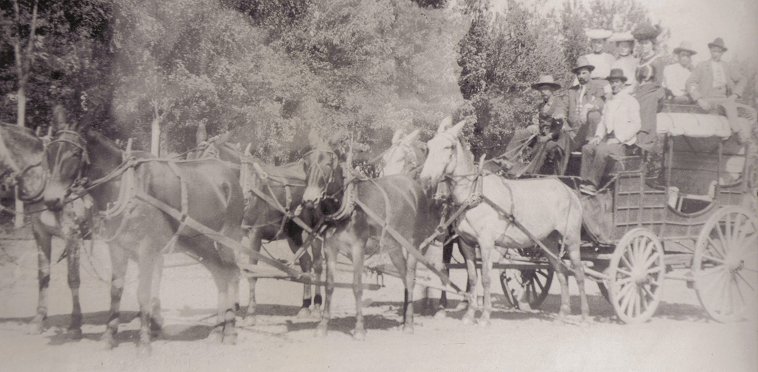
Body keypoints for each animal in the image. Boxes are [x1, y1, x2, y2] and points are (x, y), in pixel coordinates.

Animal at [0, 123, 93, 338]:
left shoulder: (72, 235)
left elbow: (73, 278)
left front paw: (75, 323)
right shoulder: (41, 235)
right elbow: (43, 275)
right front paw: (38, 319)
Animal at [43, 120, 245, 354]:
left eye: (75, 153)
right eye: (49, 153)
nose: (51, 200)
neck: (127, 186)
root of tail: (228, 175)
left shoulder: (147, 249)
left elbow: (143, 293)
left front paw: (144, 341)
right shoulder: (117, 248)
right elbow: (116, 289)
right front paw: (109, 336)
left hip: (227, 239)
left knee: (232, 274)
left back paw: (229, 331)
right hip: (200, 244)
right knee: (220, 275)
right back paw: (216, 330)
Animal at [302, 142, 434, 340]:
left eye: (328, 165)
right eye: (306, 165)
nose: (309, 200)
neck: (347, 205)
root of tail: (414, 186)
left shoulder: (358, 247)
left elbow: (357, 286)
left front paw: (359, 328)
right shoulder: (330, 248)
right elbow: (329, 286)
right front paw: (323, 326)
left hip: (413, 243)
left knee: (410, 278)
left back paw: (409, 324)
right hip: (394, 247)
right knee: (404, 277)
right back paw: (404, 320)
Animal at [422, 120, 588, 324]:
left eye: (449, 147)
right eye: (429, 146)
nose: (426, 179)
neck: (474, 193)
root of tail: (569, 191)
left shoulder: (485, 242)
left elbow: (486, 277)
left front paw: (485, 316)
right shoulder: (466, 243)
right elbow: (473, 277)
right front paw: (469, 315)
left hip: (571, 238)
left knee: (578, 272)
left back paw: (584, 315)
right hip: (548, 241)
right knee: (561, 272)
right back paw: (563, 313)